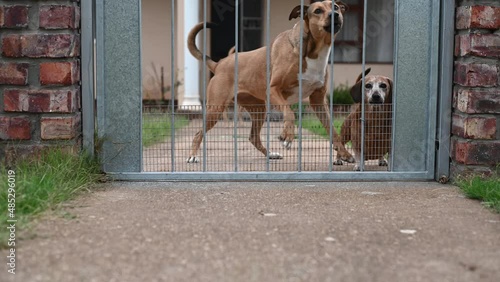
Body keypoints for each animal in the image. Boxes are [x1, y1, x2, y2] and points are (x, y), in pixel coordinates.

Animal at [186, 0, 354, 163]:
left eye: (336, 7)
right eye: (318, 10)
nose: (335, 15)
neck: (312, 52)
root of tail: (219, 64)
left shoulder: (318, 101)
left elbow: (332, 130)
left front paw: (345, 154)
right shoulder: (273, 89)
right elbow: (289, 113)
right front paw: (287, 135)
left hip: (259, 109)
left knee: (253, 137)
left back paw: (270, 154)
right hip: (216, 109)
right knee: (198, 133)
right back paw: (192, 155)